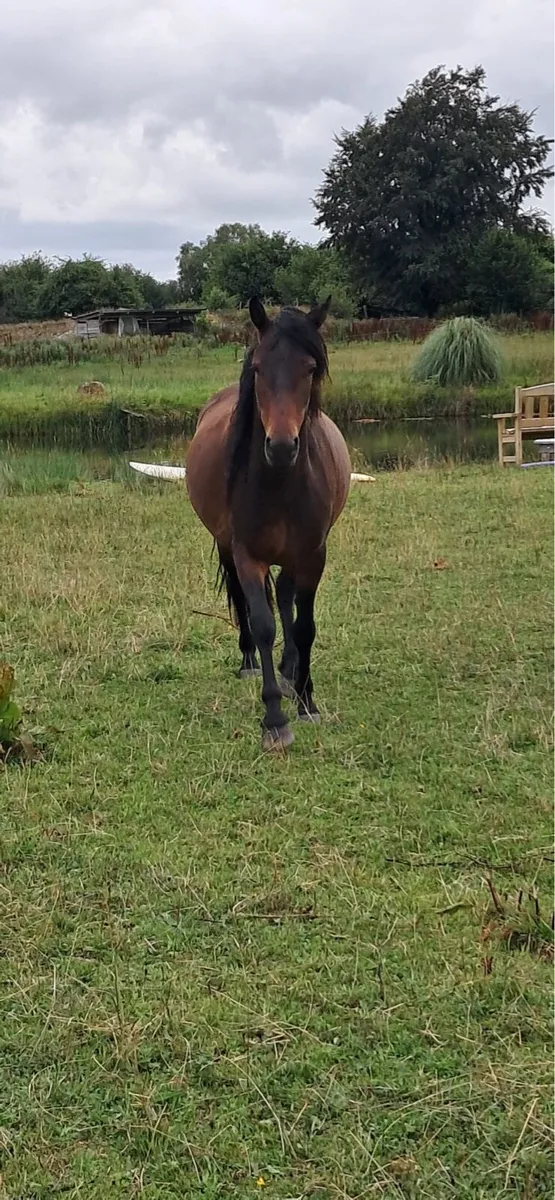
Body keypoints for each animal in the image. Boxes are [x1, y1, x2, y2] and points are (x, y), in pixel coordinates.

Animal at [186, 295, 351, 751]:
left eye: (310, 369)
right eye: (258, 368)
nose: (280, 446)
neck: (280, 484)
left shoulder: (313, 555)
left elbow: (305, 625)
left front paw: (307, 701)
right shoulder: (248, 555)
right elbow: (263, 624)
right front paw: (274, 718)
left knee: (288, 596)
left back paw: (291, 670)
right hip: (228, 546)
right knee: (245, 601)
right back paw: (251, 662)